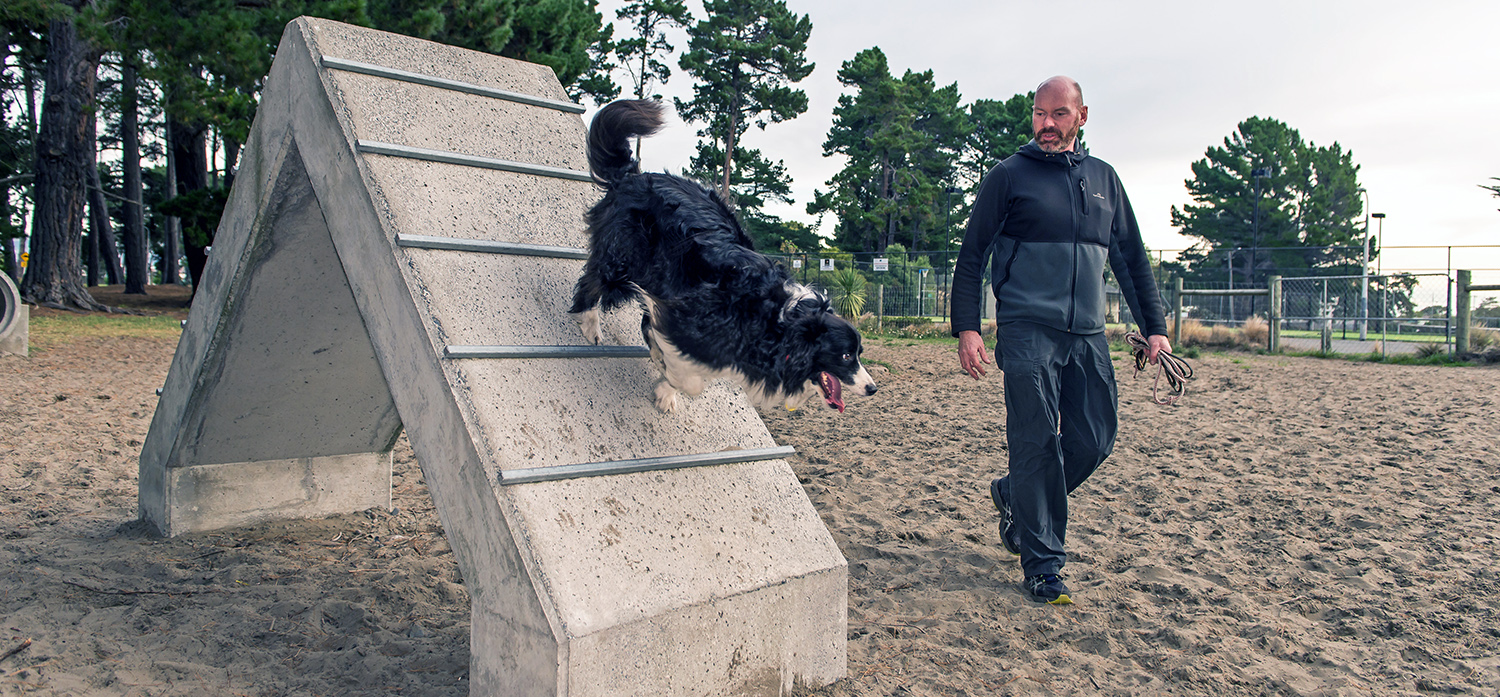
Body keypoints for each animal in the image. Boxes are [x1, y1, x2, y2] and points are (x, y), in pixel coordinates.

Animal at [573, 98, 876, 413]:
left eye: (859, 353)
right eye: (846, 356)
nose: (873, 388)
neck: (782, 325)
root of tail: (635, 175)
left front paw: (665, 384)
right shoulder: (688, 318)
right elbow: (691, 379)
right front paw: (667, 380)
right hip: (625, 256)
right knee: (595, 279)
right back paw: (589, 323)